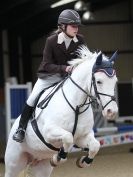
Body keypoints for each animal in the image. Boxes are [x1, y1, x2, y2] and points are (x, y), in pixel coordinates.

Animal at [4, 46, 118, 177]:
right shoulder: (49, 132)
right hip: (14, 164)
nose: (111, 111)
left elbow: (95, 145)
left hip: (42, 167)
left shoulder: (82, 137)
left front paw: (84, 161)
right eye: (99, 81)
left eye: (115, 81)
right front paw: (58, 157)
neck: (76, 106)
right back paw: (19, 135)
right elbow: (68, 137)